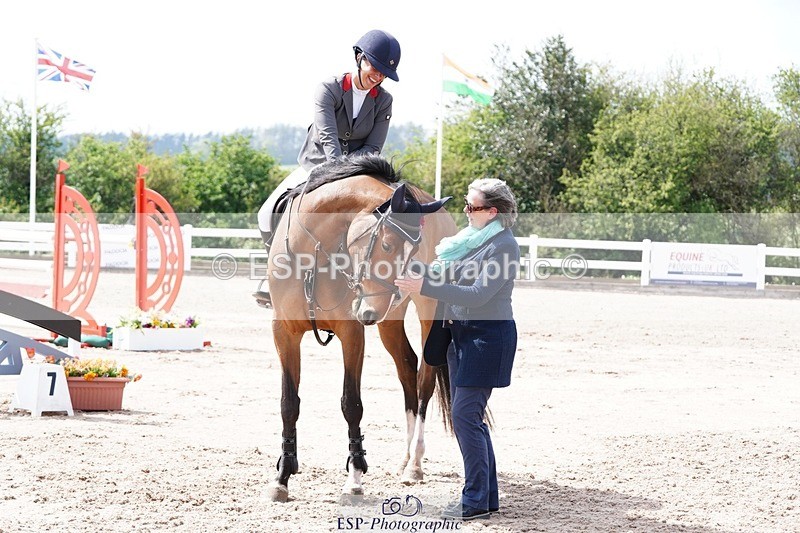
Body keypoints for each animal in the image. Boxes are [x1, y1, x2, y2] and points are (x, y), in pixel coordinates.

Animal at [265, 155, 458, 502]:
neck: (313, 255)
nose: (370, 311)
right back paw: (405, 458)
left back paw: (414, 465)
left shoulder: (351, 333)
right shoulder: (284, 332)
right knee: (407, 367)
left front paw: (354, 476)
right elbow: (289, 404)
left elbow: (351, 404)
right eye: (387, 244)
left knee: (425, 378)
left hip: (427, 309)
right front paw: (282, 477)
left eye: (413, 251)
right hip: (391, 320)